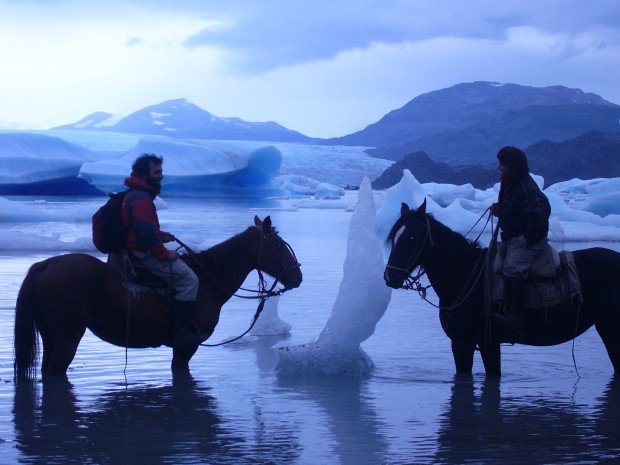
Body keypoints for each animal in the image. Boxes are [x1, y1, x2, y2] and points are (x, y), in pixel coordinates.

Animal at [13, 216, 304, 378]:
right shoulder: (186, 346)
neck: (208, 279)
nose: (298, 276)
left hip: (51, 337)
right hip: (67, 338)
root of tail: (44, 266)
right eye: (278, 244)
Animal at [386, 201, 616, 376]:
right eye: (394, 237)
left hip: (610, 328)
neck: (464, 274)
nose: (390, 276)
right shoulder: (461, 343)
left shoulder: (487, 343)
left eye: (412, 237)